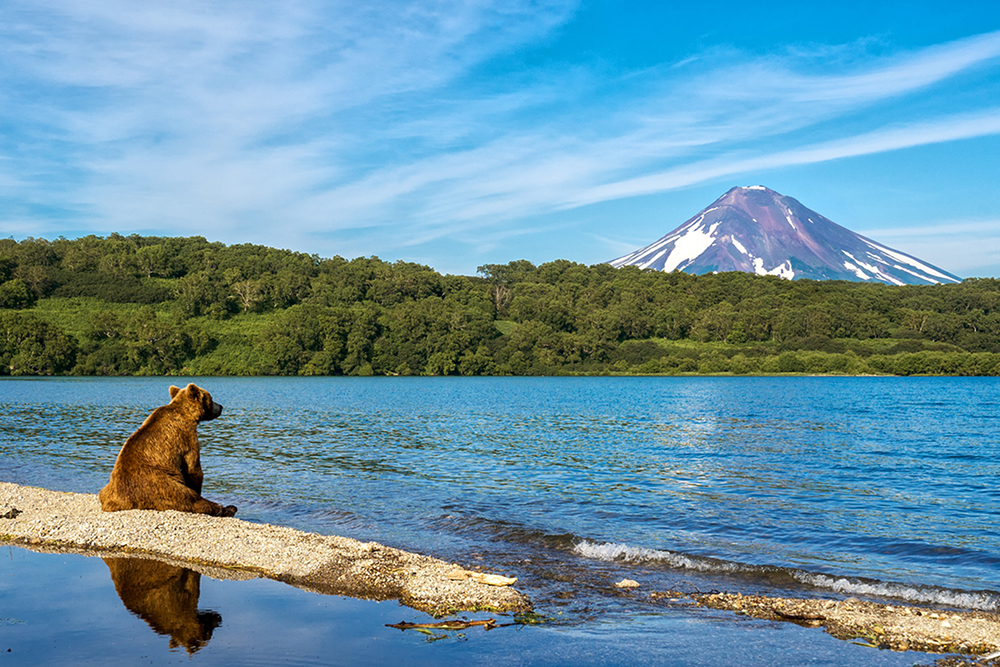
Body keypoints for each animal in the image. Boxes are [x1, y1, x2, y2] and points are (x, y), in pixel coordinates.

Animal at [98, 384, 237, 520]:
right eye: (211, 398)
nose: (221, 407)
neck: (186, 413)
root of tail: (120, 502)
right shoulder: (187, 436)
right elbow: (193, 468)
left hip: (108, 488)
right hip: (160, 485)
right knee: (190, 499)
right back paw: (229, 508)